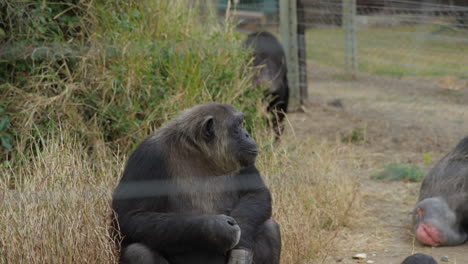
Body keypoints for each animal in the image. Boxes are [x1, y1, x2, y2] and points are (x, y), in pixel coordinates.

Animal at [112, 103, 282, 264]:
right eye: (236, 127)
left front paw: (241, 246)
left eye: (241, 124)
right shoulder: (147, 157)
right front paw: (218, 228)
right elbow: (129, 217)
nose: (247, 134)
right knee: (138, 252)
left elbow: (256, 192)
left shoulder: (244, 160)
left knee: (269, 228)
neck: (201, 152)